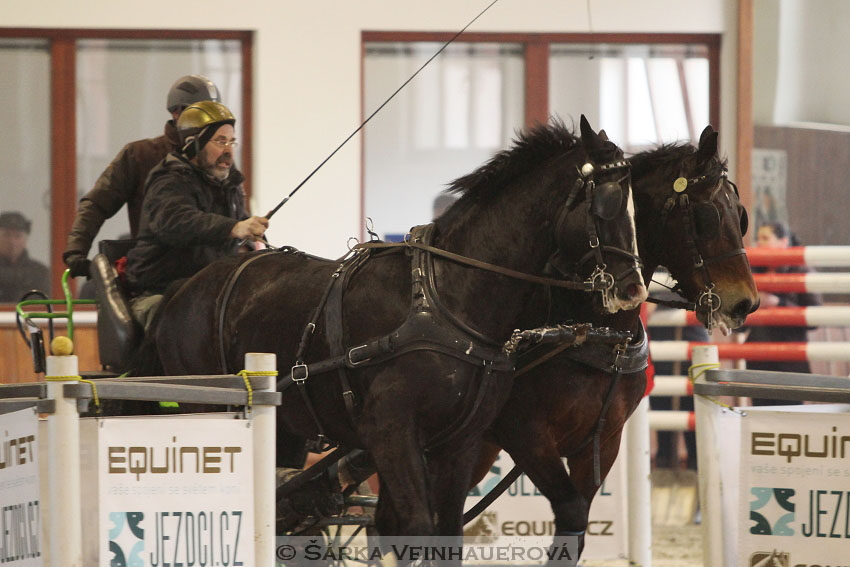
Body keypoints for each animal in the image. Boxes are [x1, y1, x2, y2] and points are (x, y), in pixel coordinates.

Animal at [139, 116, 644, 540]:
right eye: (604, 203)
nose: (632, 289)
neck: (445, 298)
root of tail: (183, 291)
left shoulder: (460, 441)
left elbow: (444, 533)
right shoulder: (392, 431)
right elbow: (416, 527)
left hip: (286, 426)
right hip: (204, 407)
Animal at [468, 125, 760, 560]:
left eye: (739, 214)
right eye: (705, 216)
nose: (746, 303)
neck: (596, 333)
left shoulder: (600, 442)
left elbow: (575, 530)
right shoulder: (526, 434)